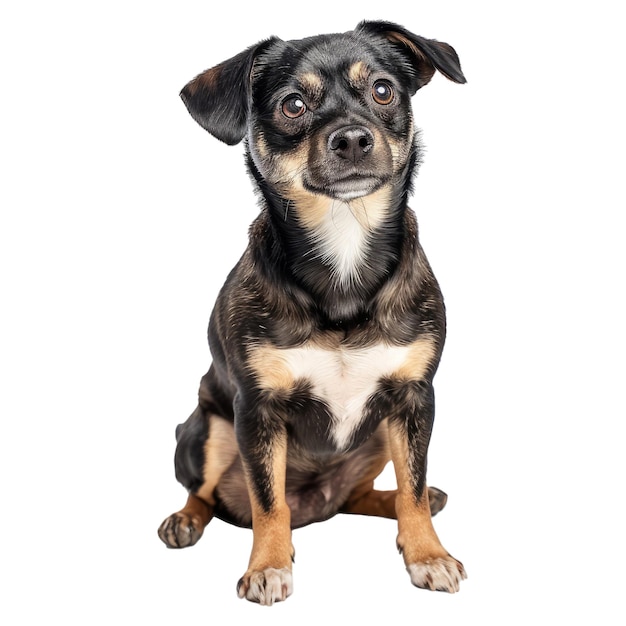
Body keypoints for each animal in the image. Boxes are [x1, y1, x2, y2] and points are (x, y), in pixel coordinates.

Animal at [158, 20, 466, 604]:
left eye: (383, 90)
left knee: (368, 494)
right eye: (293, 105)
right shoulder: (257, 410)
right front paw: (268, 566)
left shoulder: (414, 400)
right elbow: (268, 500)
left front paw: (428, 555)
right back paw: (184, 520)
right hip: (207, 431)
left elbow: (412, 488)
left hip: (379, 434)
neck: (343, 243)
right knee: (207, 493)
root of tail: (318, 505)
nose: (352, 137)